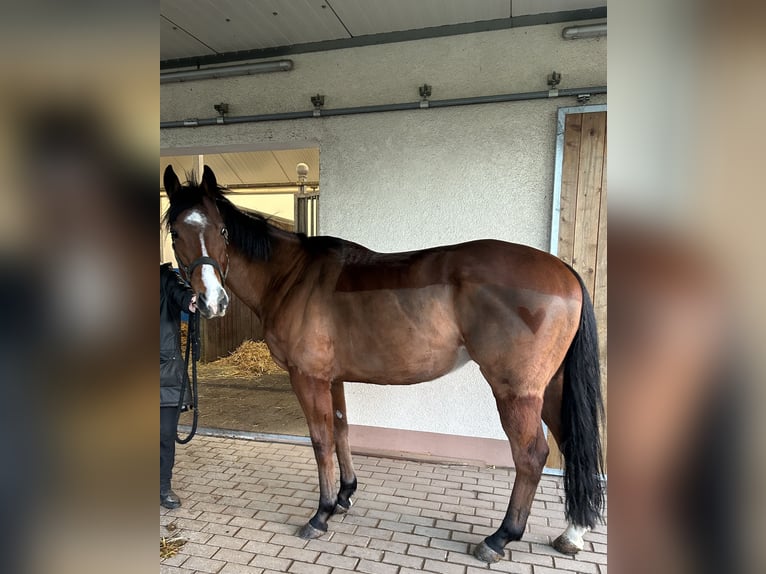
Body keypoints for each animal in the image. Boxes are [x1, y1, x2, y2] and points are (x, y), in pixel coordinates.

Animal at [164, 164, 608, 564]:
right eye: (176, 233)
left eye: (222, 231)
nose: (212, 302)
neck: (291, 277)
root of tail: (563, 271)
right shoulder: (332, 378)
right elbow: (341, 429)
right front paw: (344, 495)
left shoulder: (307, 377)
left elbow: (321, 439)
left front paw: (320, 514)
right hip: (553, 387)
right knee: (571, 444)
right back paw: (573, 533)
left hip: (516, 392)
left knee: (532, 455)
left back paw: (499, 538)